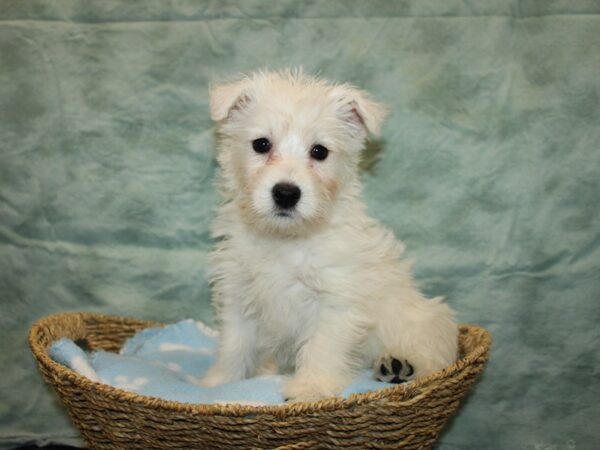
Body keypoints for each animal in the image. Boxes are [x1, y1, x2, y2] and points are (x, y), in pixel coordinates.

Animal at [202, 69, 460, 400]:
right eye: (261, 144)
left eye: (319, 151)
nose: (286, 194)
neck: (287, 238)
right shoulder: (239, 294)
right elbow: (234, 346)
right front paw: (219, 383)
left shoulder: (335, 300)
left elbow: (321, 348)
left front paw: (309, 388)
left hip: (424, 322)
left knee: (433, 356)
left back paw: (400, 365)